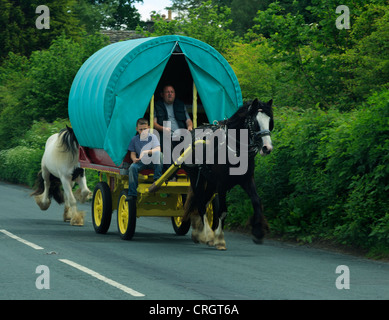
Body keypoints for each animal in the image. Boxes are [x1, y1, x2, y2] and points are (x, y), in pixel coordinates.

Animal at [182, 99, 272, 249]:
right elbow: (223, 211)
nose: (267, 148)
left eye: (270, 121)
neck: (235, 150)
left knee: (204, 202)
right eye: (255, 122)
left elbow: (256, 201)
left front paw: (258, 232)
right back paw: (207, 235)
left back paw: (198, 232)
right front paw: (219, 239)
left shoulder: (247, 179)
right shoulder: (222, 184)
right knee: (201, 204)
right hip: (197, 178)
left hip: (210, 182)